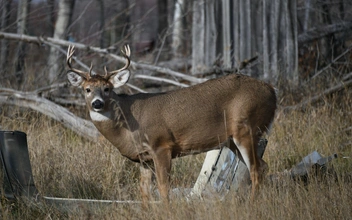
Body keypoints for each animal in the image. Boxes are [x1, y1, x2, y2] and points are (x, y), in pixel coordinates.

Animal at [66, 44, 278, 201]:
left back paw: (251, 205)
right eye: (87, 89)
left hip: (248, 127)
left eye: (107, 89)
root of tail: (272, 90)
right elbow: (144, 191)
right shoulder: (144, 159)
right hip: (232, 141)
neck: (127, 127)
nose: (97, 103)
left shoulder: (162, 146)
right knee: (262, 166)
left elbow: (163, 188)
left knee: (256, 169)